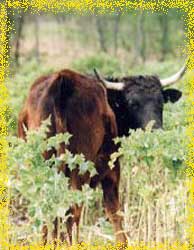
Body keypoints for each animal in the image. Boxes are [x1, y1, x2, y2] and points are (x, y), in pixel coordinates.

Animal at [17, 69, 127, 245]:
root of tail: (62, 80)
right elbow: (114, 210)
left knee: (47, 206)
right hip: (80, 169)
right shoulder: (112, 168)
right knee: (73, 208)